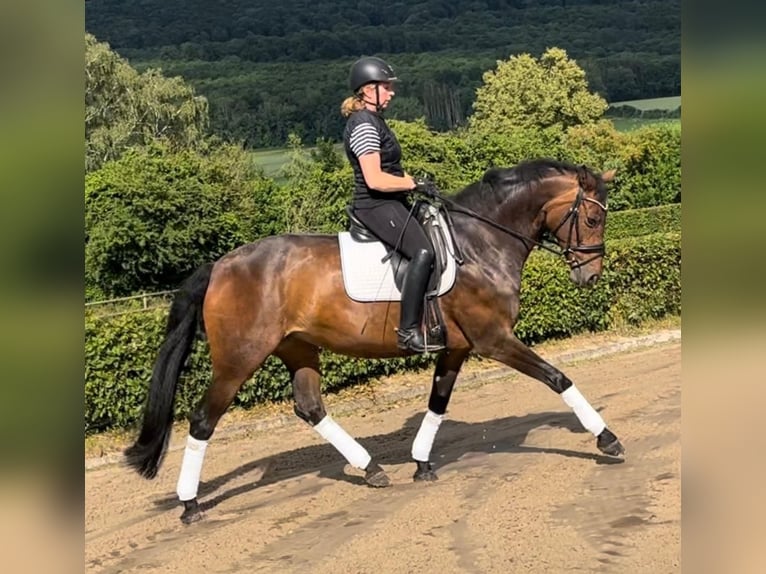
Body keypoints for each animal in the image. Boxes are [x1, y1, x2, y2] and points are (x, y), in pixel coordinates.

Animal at [126, 158, 628, 528]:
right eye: (592, 216)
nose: (590, 276)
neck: (481, 243)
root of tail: (220, 266)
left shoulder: (457, 347)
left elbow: (438, 403)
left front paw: (421, 463)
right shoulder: (495, 340)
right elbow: (558, 378)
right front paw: (607, 440)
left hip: (297, 347)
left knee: (310, 407)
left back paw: (371, 469)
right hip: (238, 359)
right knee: (202, 420)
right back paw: (189, 505)